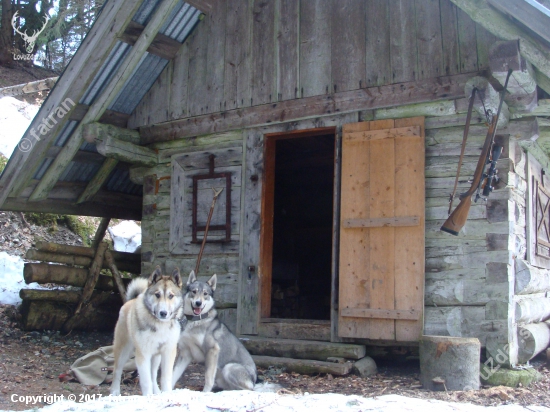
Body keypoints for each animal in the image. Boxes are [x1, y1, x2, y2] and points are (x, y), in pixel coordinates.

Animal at [110, 266, 183, 398]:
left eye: (171, 296)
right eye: (157, 294)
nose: (163, 313)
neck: (160, 324)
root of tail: (131, 300)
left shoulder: (168, 352)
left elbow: (165, 378)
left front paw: (166, 394)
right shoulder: (143, 354)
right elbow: (146, 381)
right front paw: (148, 397)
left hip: (156, 357)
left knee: (153, 375)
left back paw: (157, 393)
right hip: (123, 350)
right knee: (117, 370)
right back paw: (114, 391)